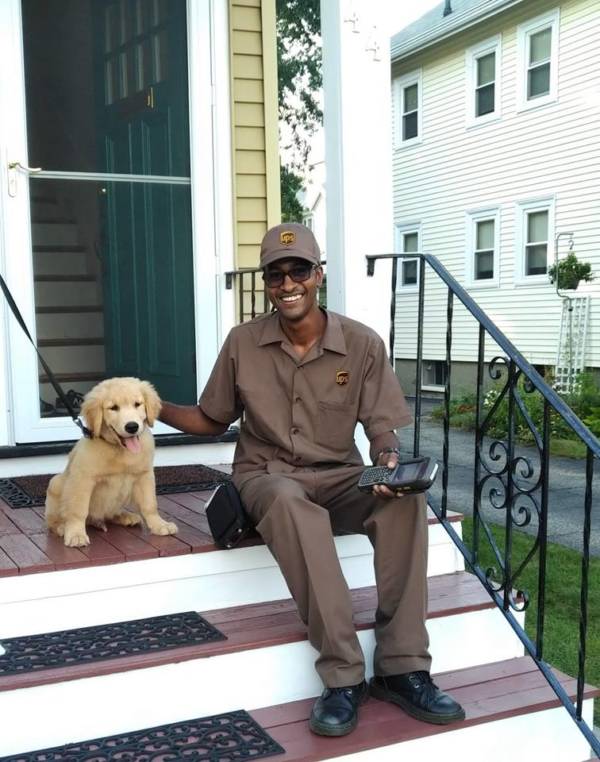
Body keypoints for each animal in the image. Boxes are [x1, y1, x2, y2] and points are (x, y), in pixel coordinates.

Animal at [44, 376, 177, 548]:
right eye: (113, 408)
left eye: (137, 404)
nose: (132, 427)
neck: (120, 449)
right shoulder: (82, 479)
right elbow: (78, 510)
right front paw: (76, 534)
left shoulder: (144, 475)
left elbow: (150, 505)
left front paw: (159, 525)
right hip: (56, 482)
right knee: (53, 520)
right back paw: (61, 526)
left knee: (111, 514)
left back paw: (126, 516)